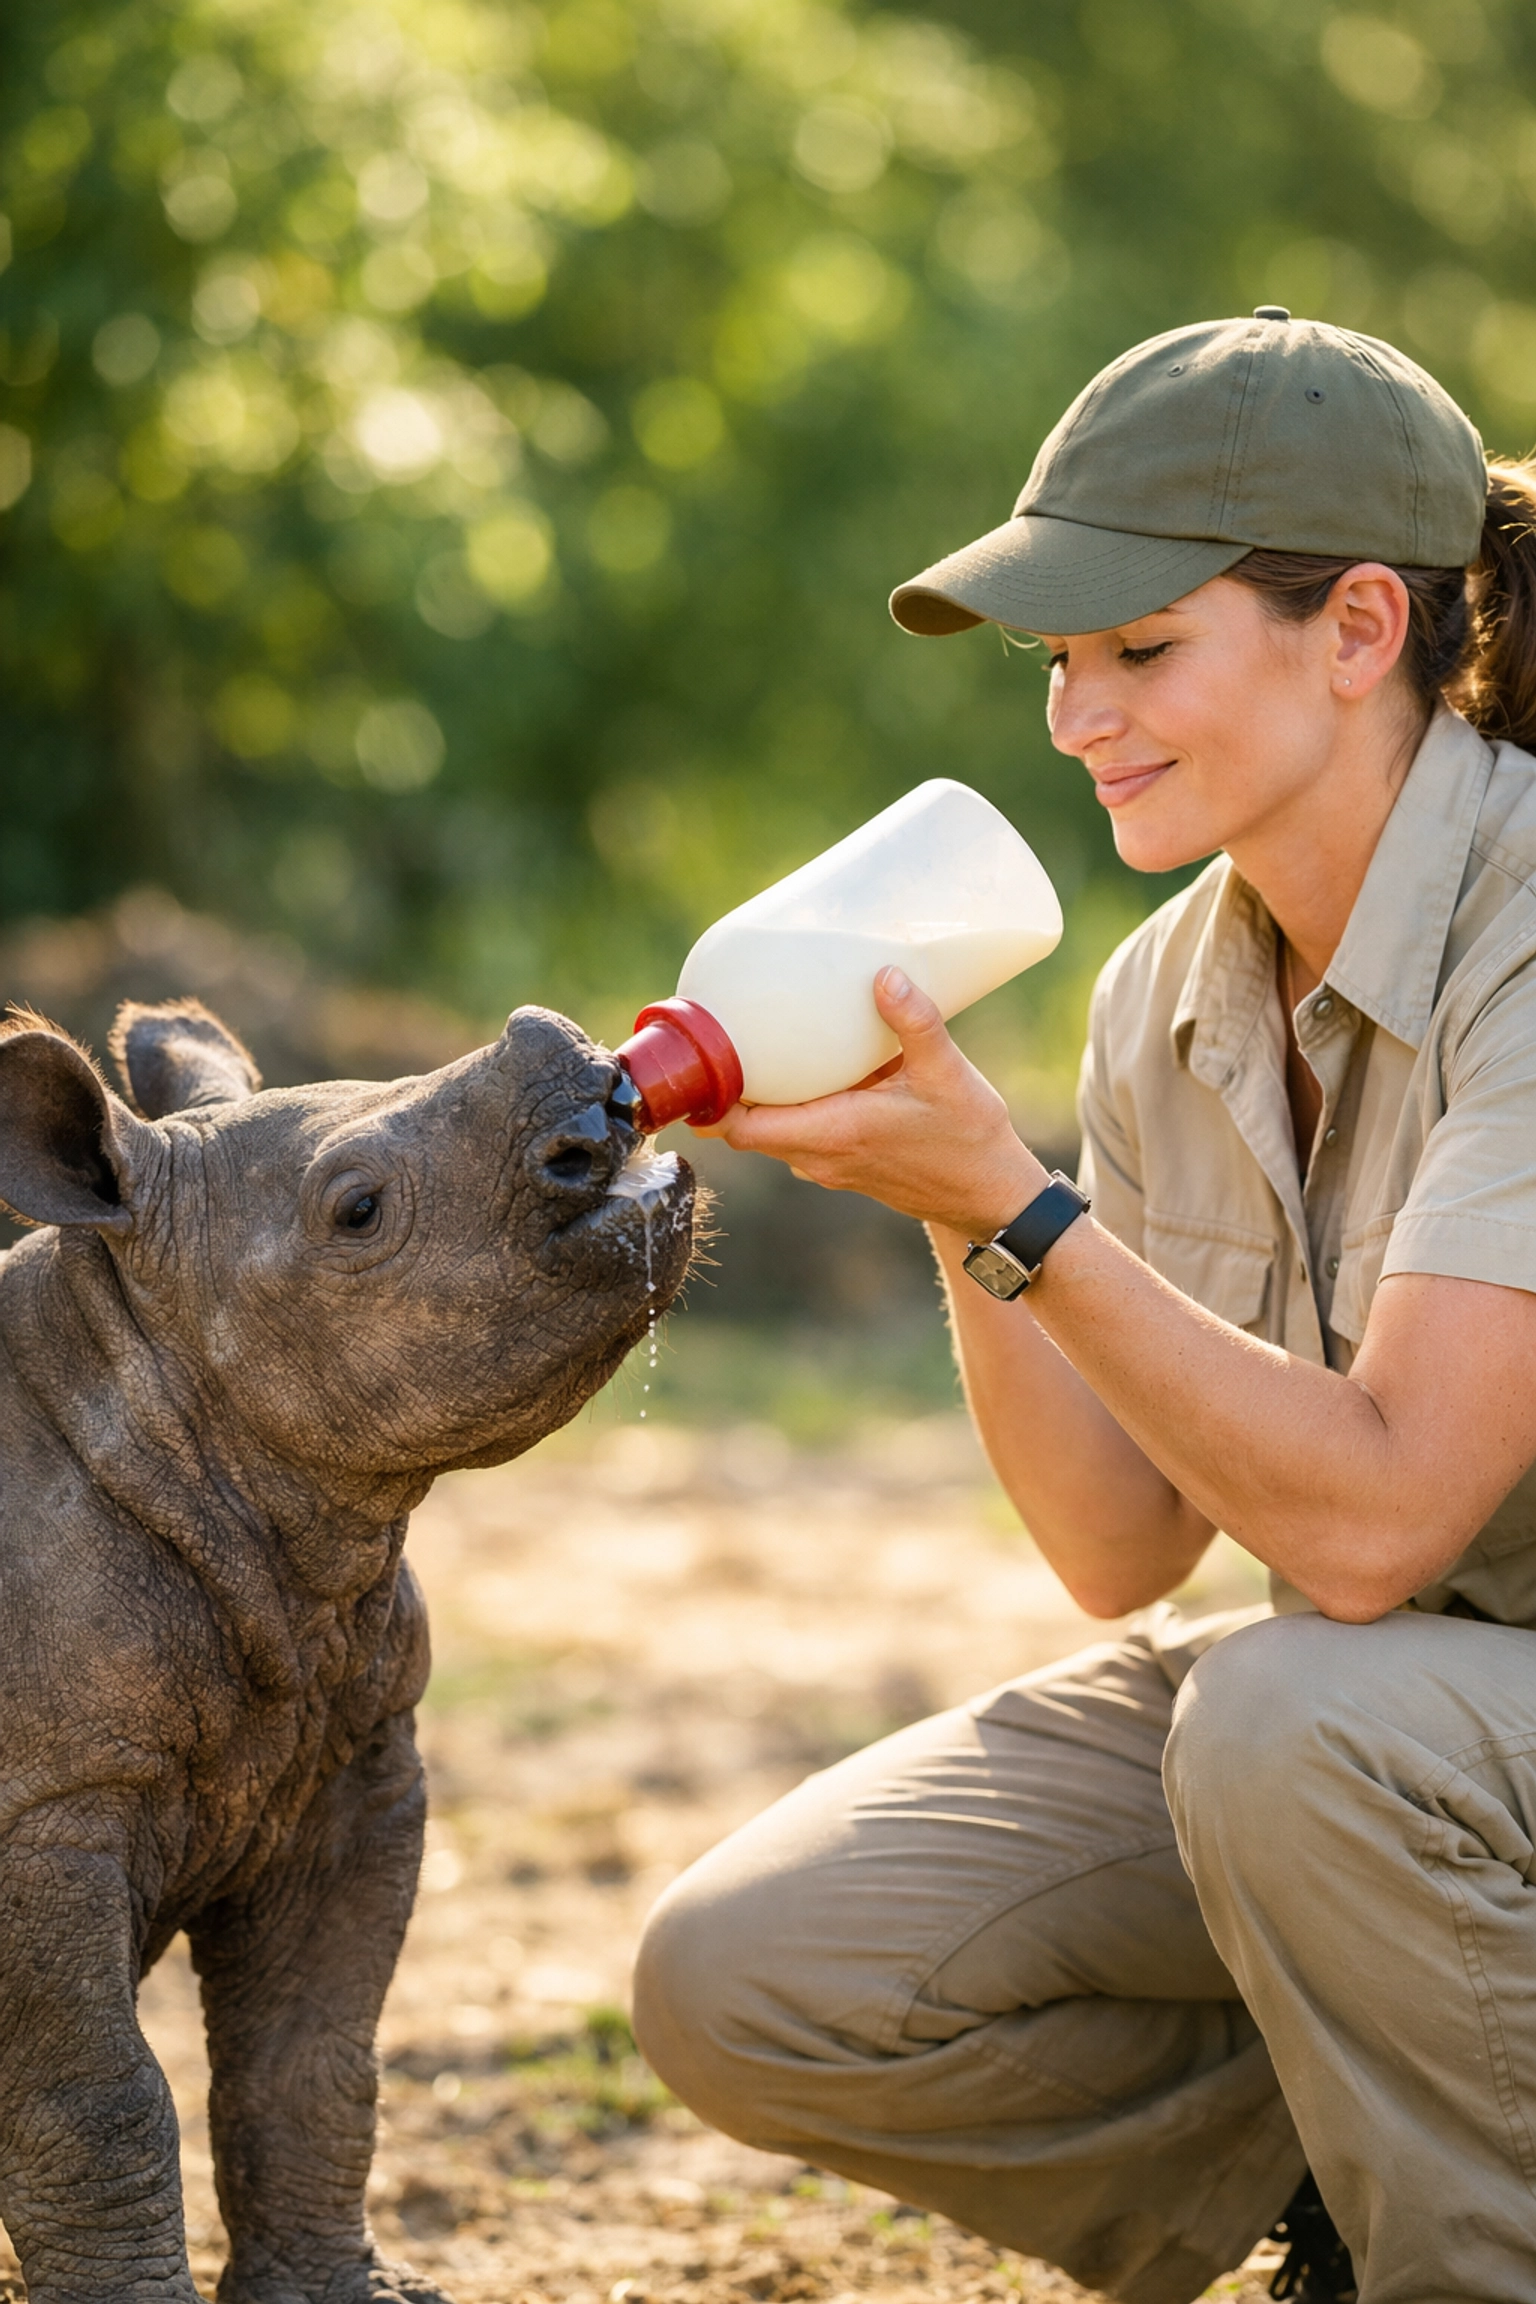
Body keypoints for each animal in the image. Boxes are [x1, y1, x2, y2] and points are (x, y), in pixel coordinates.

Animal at [0, 996, 694, 2303]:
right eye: (359, 1209)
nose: (605, 1094)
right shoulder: (40, 1809)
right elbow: (95, 2098)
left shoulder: (352, 1751)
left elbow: (313, 2053)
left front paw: (341, 2295)